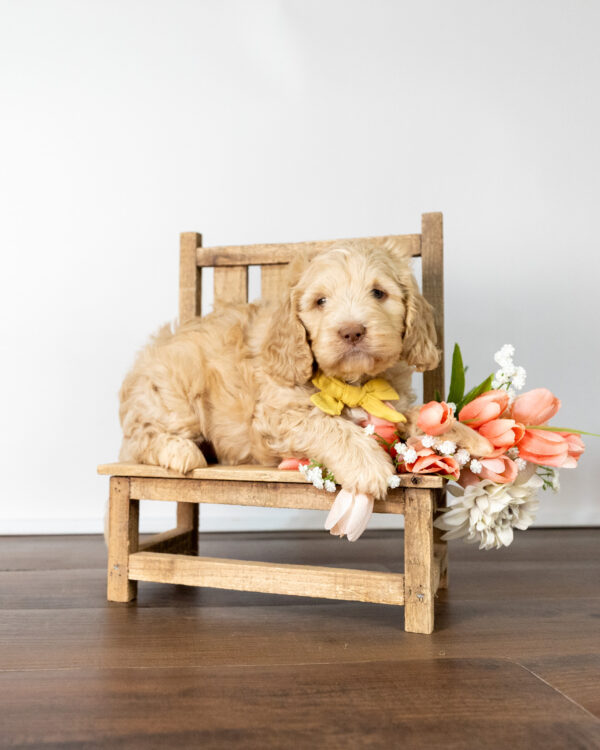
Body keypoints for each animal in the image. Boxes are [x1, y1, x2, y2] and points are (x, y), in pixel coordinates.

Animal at [119, 239, 491, 520]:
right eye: (320, 301)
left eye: (378, 293)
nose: (352, 331)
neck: (353, 385)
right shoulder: (277, 413)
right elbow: (329, 425)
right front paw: (368, 463)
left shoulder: (390, 406)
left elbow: (420, 417)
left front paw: (468, 437)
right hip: (176, 385)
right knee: (138, 440)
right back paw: (180, 450)